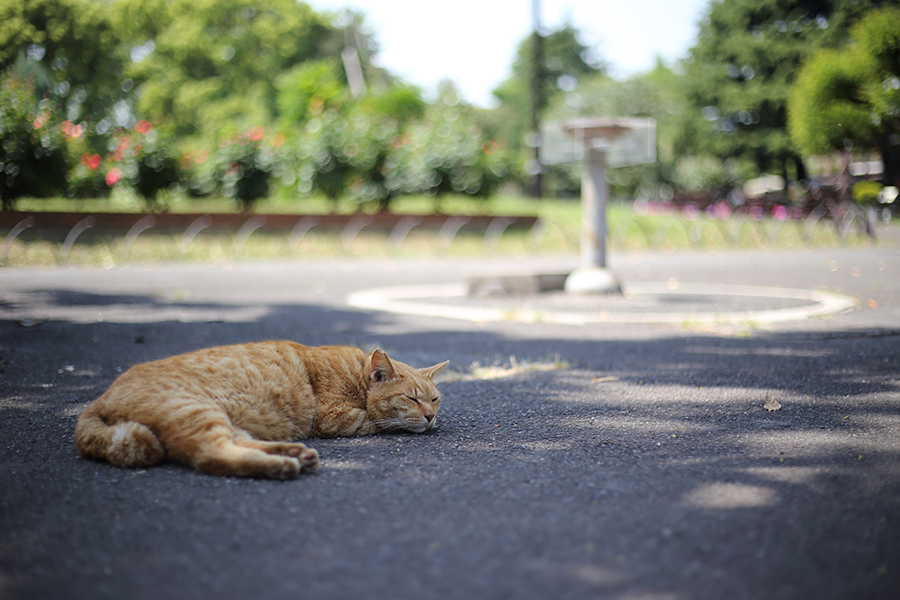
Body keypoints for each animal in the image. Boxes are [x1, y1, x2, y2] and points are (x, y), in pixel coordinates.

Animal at [75, 344, 448, 480]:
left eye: (435, 399)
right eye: (412, 399)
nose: (430, 417)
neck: (355, 373)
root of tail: (96, 401)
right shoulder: (333, 417)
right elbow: (375, 421)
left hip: (218, 417)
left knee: (238, 443)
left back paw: (294, 453)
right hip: (195, 410)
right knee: (211, 455)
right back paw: (281, 465)